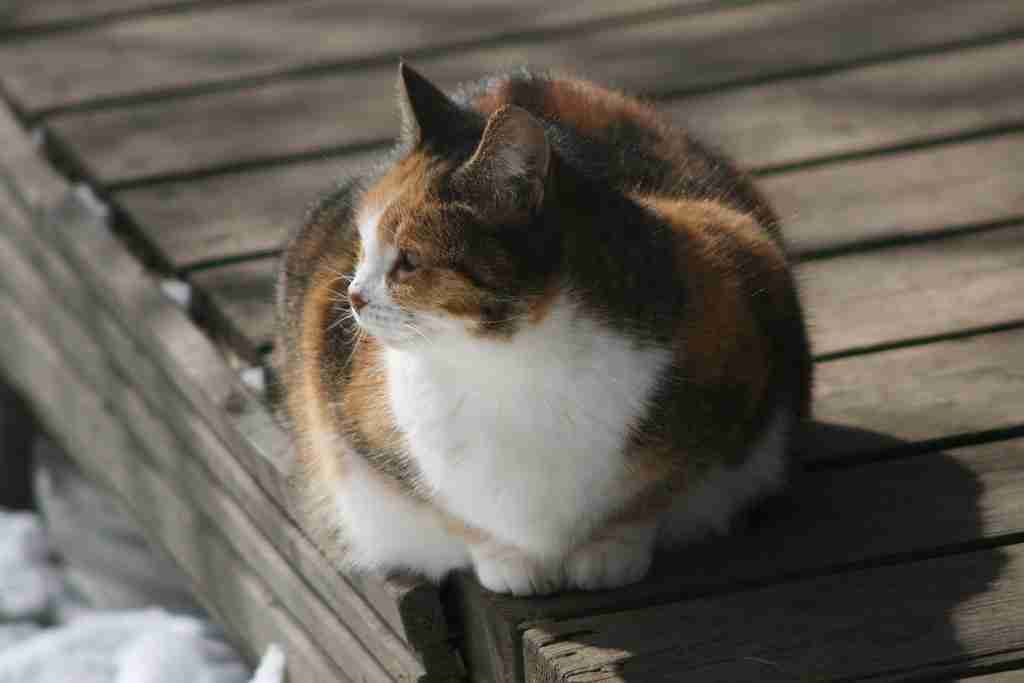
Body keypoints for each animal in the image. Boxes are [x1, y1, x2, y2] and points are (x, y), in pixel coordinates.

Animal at [274, 65, 815, 598]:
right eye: (362, 246)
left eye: (408, 261)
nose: (354, 297)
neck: (508, 359)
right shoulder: (346, 405)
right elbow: (455, 511)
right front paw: (505, 558)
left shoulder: (739, 283)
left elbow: (655, 489)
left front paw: (609, 550)